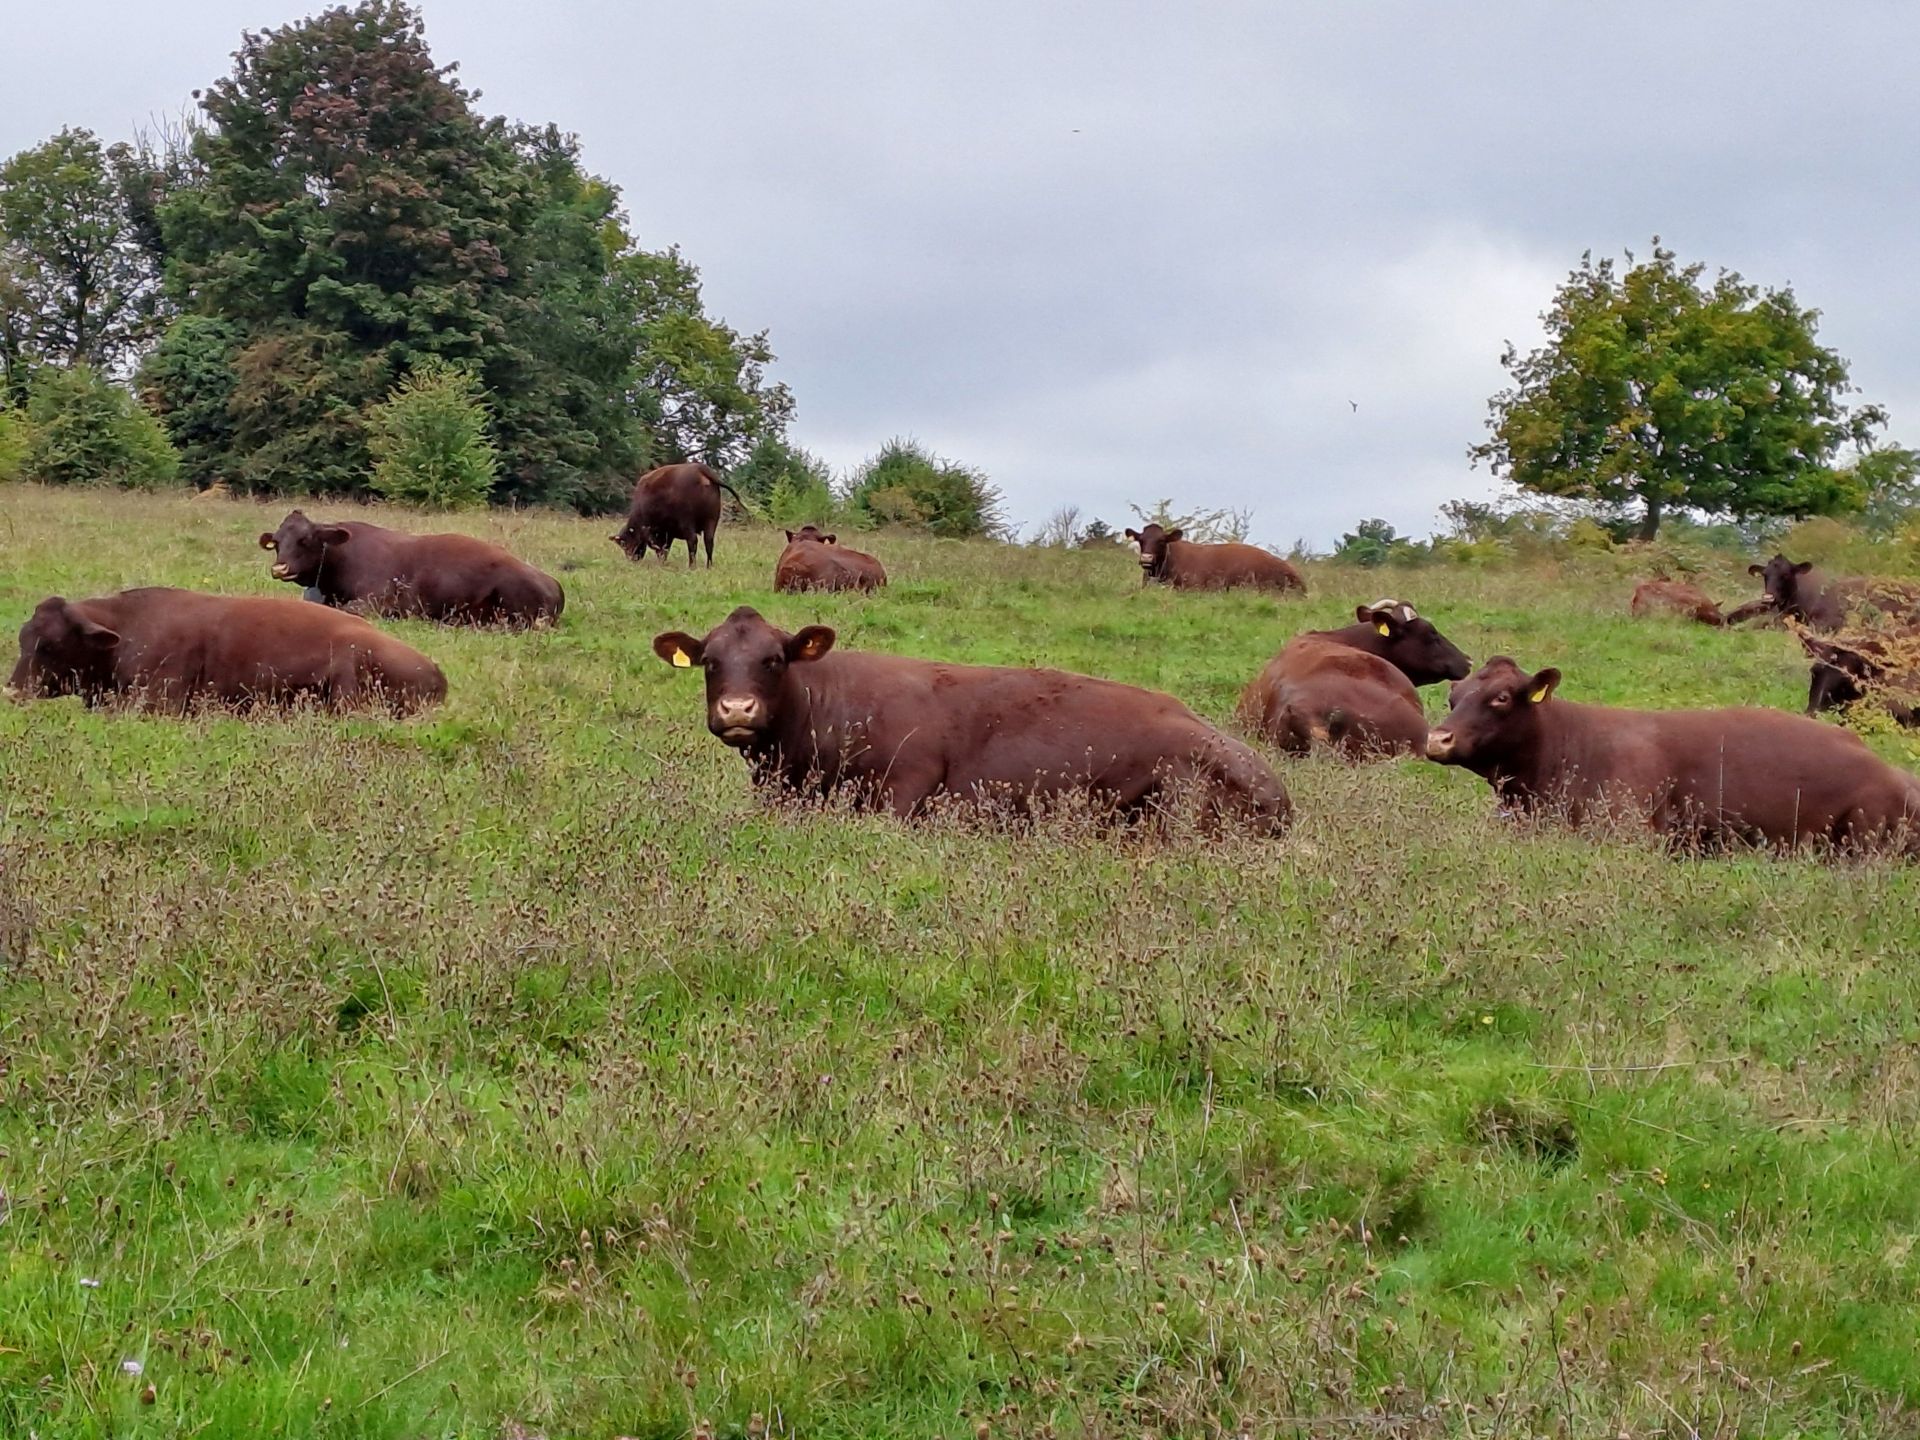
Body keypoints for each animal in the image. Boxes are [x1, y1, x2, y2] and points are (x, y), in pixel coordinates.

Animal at [611, 462, 744, 568]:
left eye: (625, 544)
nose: (632, 559)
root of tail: (700, 469)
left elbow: (661, 548)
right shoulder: (668, 533)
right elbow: (665, 548)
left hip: (688, 521)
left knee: (692, 541)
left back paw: (691, 566)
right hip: (711, 520)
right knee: (709, 541)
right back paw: (708, 566)